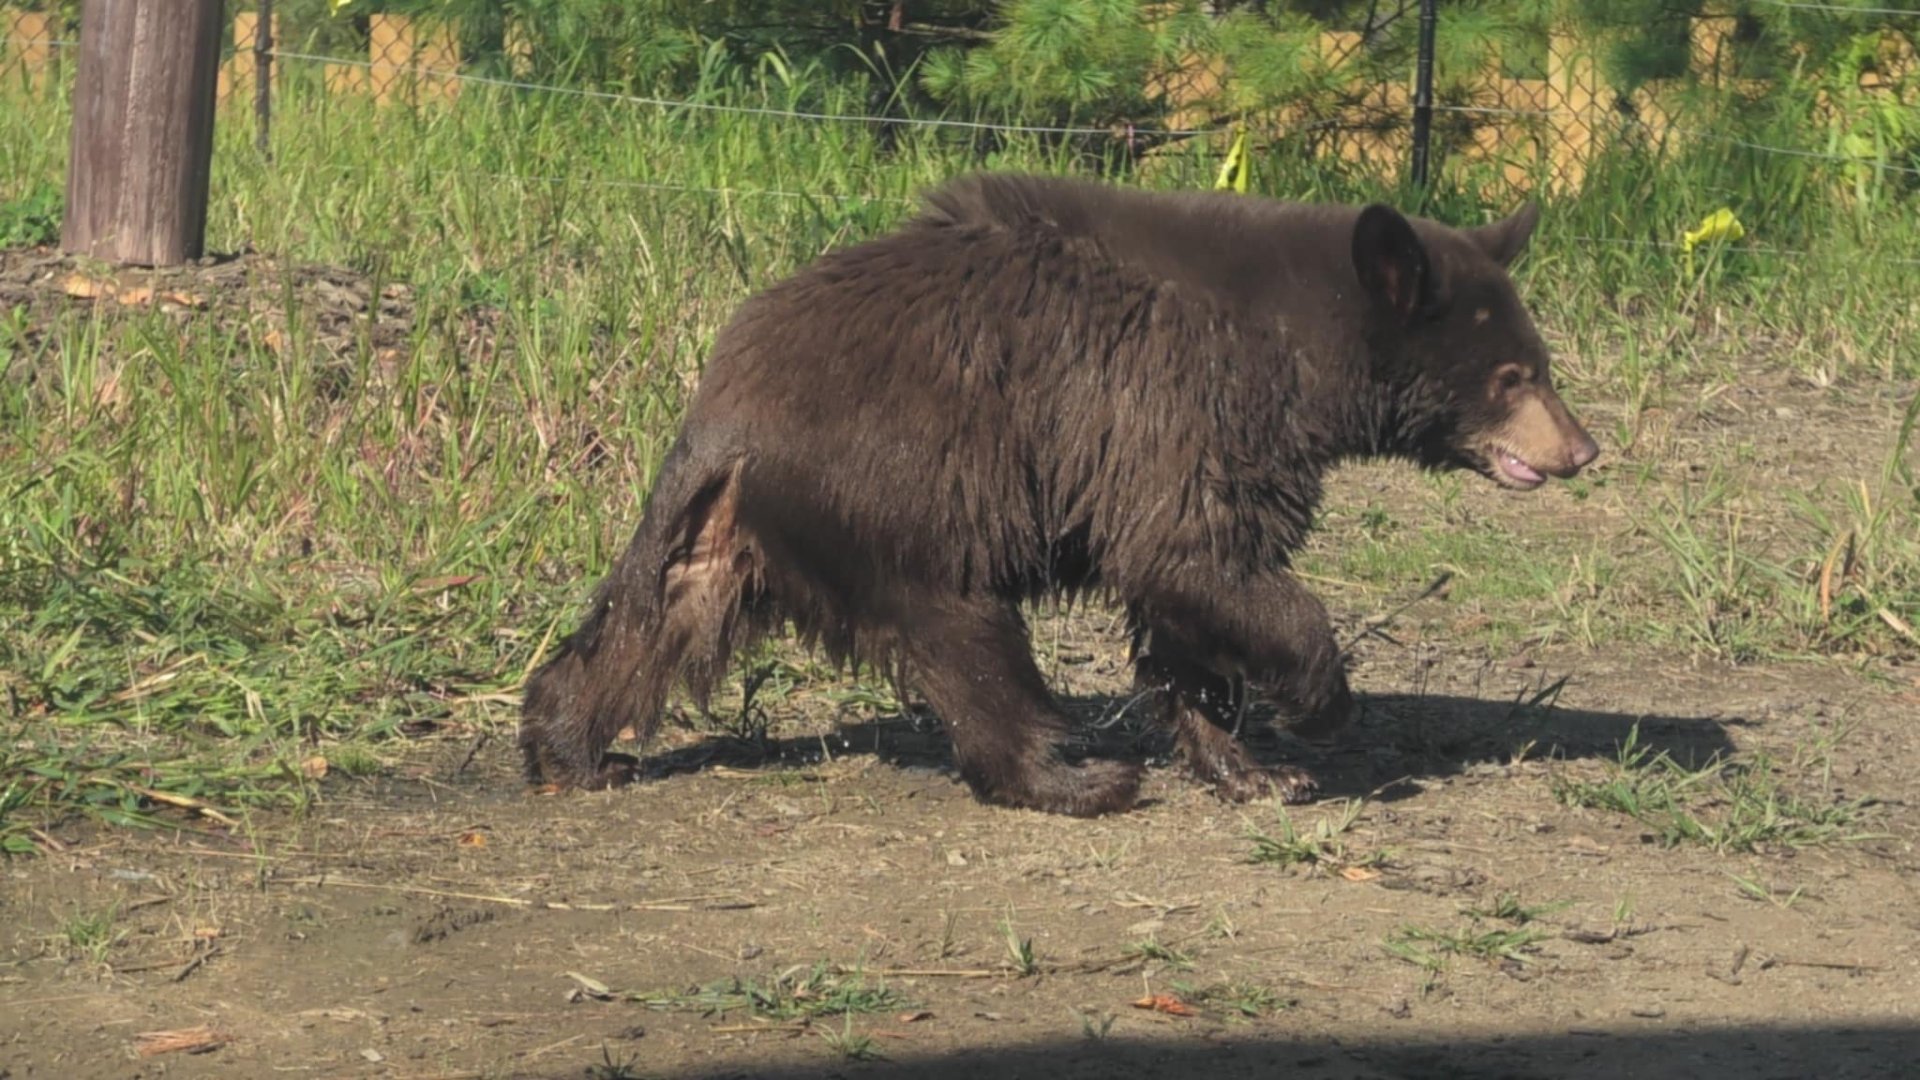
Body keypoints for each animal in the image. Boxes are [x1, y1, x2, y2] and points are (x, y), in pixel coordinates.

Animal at [517, 171, 1599, 817]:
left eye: (1539, 364)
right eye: (1512, 376)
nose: (1582, 448)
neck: (1299, 349)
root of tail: (727, 407)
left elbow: (1182, 616)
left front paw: (1254, 766)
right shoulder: (1178, 405)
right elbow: (1200, 557)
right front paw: (1317, 707)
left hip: (737, 525)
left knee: (655, 615)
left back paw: (573, 750)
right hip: (908, 494)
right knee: (970, 643)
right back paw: (1077, 775)